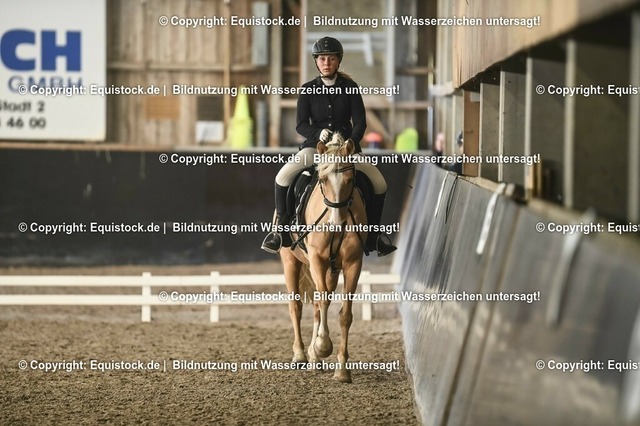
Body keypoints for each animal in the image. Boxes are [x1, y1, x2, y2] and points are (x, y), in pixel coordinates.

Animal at [279, 134, 367, 383]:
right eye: (324, 179)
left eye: (350, 179)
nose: (335, 225)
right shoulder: (317, 259)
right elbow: (323, 301)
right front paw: (324, 346)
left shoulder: (353, 263)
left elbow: (345, 314)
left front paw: (342, 369)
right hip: (291, 261)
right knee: (296, 305)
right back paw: (300, 355)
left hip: (332, 270)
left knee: (318, 304)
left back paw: (313, 357)